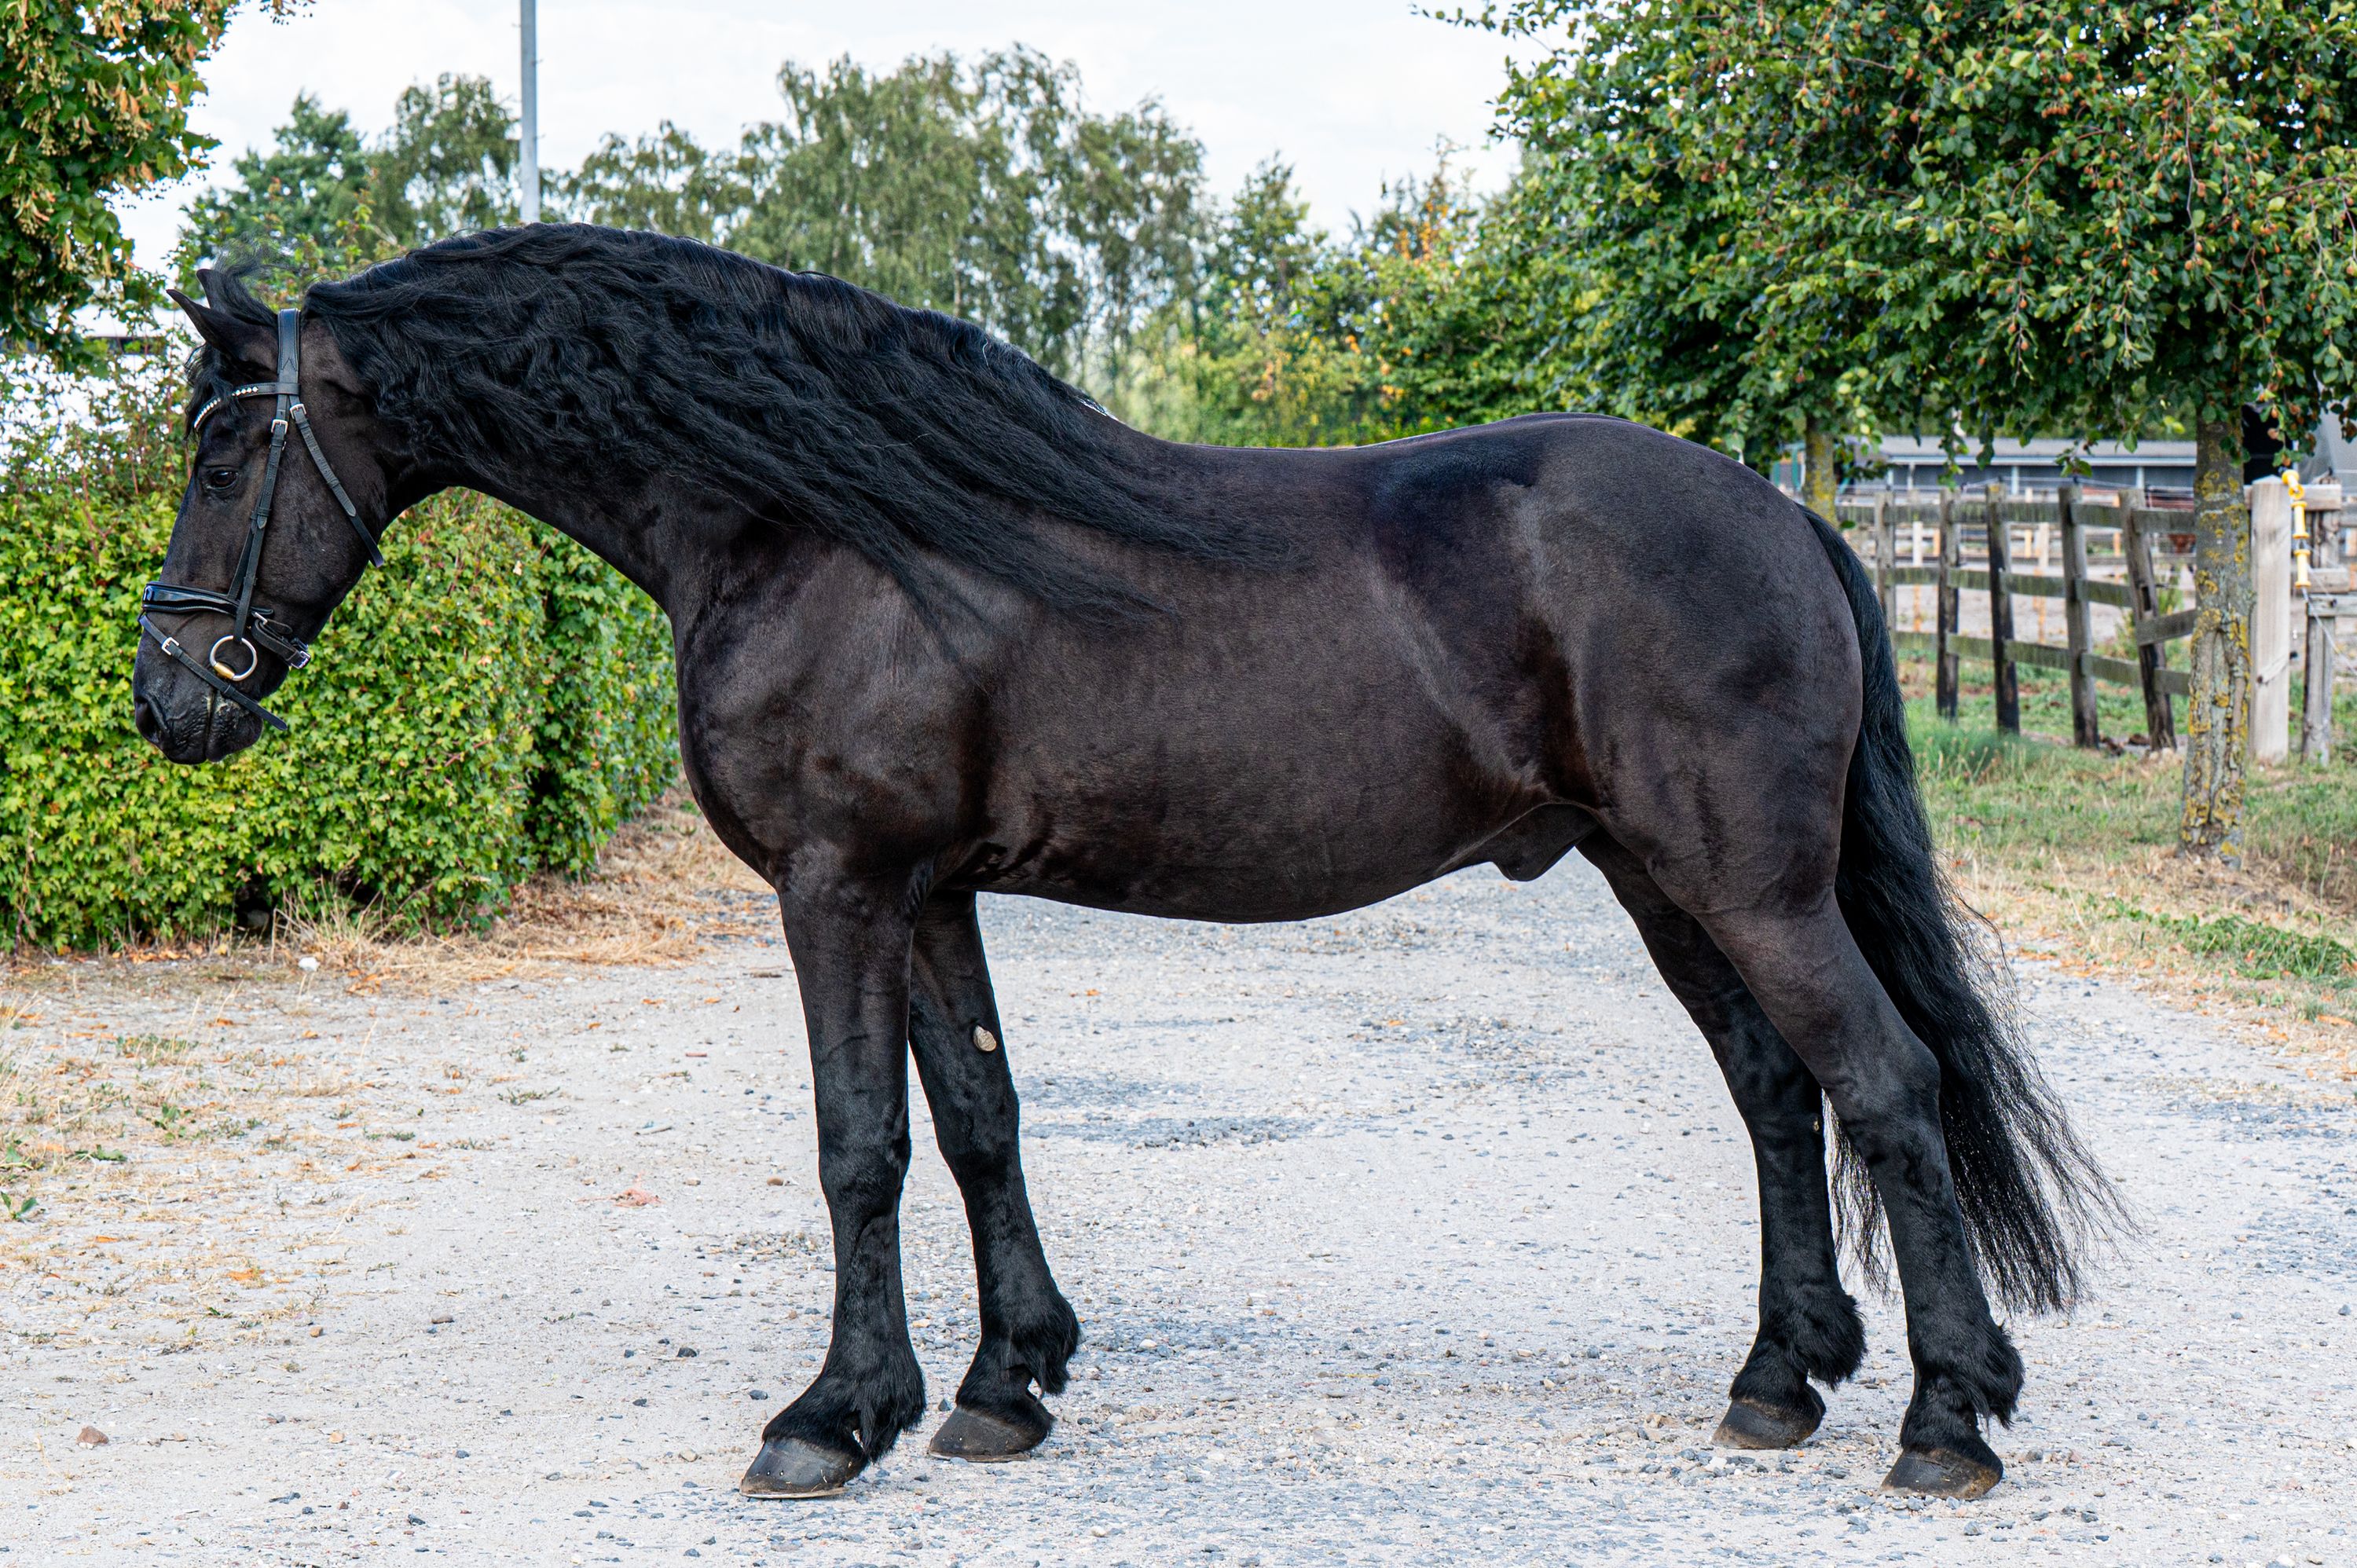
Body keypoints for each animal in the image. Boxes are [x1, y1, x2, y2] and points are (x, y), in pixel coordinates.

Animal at [132, 225, 2113, 1503]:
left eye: (226, 446)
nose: (169, 699)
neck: (819, 527)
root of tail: (1785, 513)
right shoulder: (928, 890)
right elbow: (977, 1118)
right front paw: (1002, 1383)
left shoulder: (839, 885)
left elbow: (857, 1145)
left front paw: (828, 1418)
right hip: (1657, 876)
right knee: (1780, 1096)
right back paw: (1780, 1380)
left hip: (1744, 881)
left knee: (1884, 1084)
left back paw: (1945, 1421)